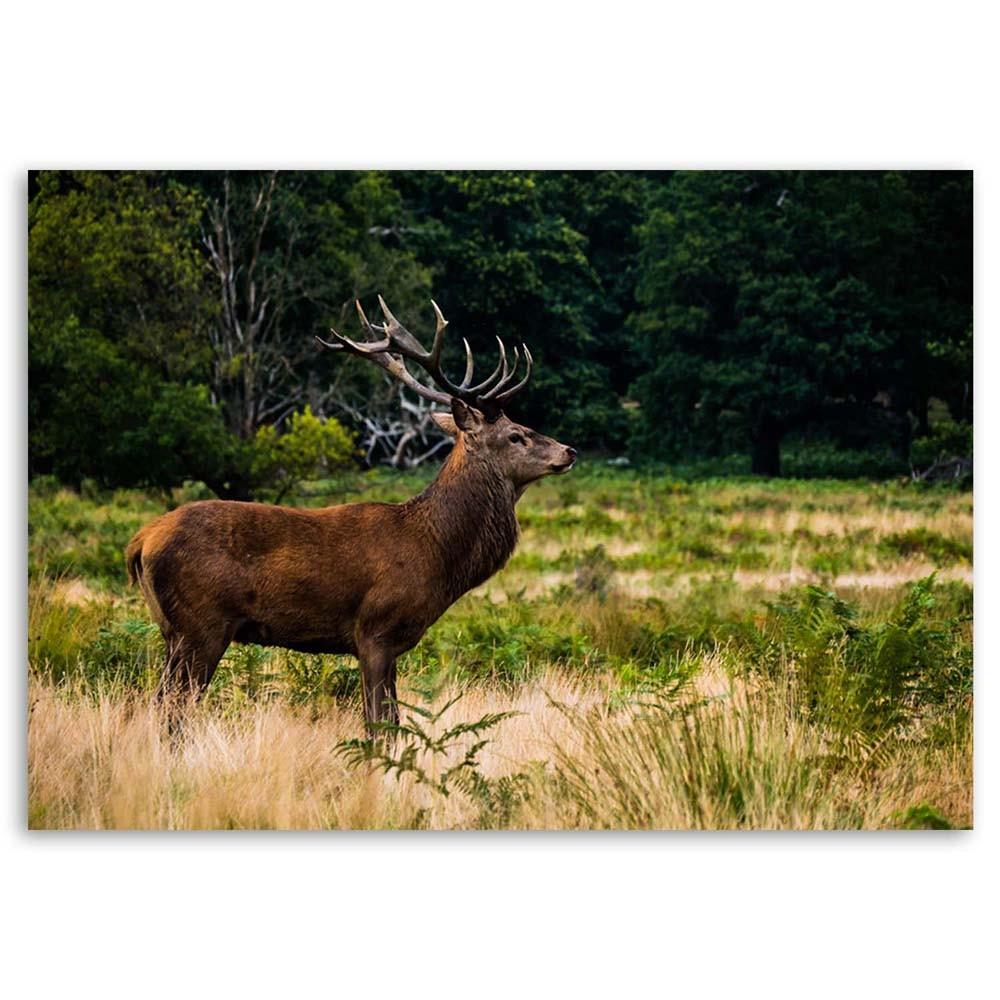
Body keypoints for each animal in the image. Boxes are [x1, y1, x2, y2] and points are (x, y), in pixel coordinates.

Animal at [126, 297, 577, 730]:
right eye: (516, 434)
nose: (569, 450)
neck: (436, 553)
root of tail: (141, 541)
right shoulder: (375, 630)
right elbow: (379, 723)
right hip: (201, 625)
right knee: (173, 711)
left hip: (173, 631)